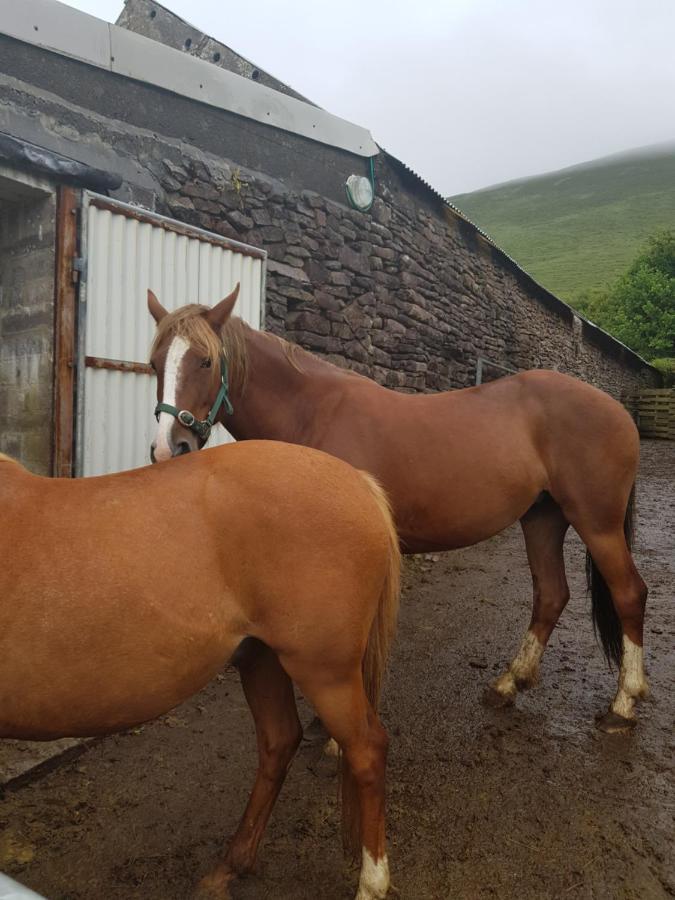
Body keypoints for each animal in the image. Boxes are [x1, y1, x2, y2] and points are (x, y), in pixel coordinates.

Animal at [0, 444, 398, 900]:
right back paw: (228, 868)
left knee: (366, 751)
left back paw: (370, 884)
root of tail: (359, 482)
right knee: (280, 741)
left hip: (325, 672)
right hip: (261, 658)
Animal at [148, 284, 648, 736]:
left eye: (206, 361)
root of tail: (617, 410)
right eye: (155, 363)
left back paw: (623, 706)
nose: (169, 448)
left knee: (628, 593)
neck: (314, 413)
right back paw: (509, 684)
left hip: (597, 522)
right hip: (543, 518)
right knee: (551, 594)